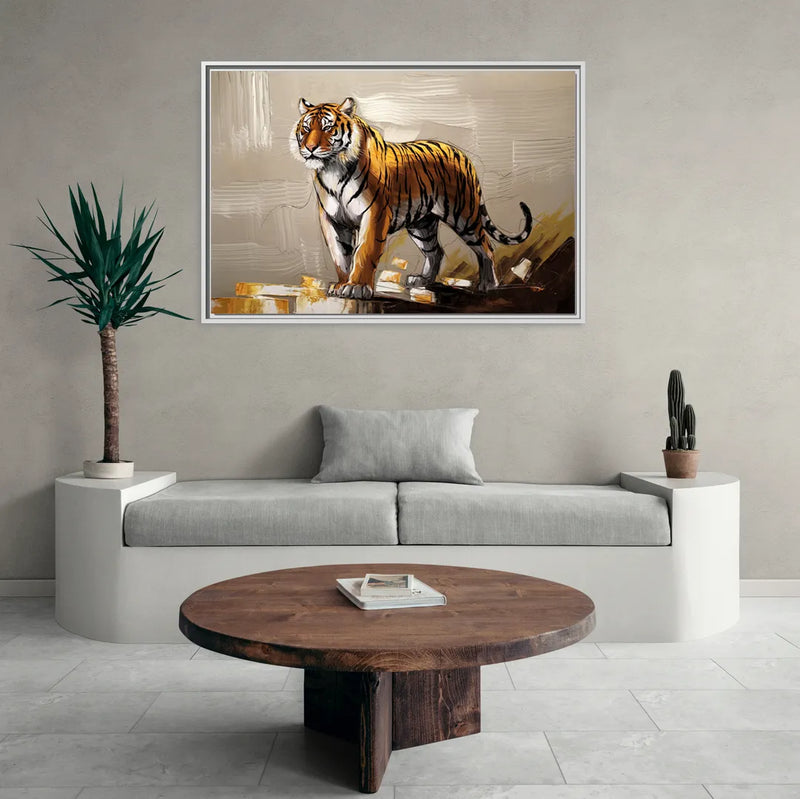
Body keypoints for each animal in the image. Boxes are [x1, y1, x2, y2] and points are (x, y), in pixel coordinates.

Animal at [290, 97, 534, 299]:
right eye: (306, 128)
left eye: (327, 127)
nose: (309, 148)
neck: (332, 167)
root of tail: (462, 154)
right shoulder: (332, 219)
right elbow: (340, 256)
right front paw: (341, 284)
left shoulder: (374, 213)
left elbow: (364, 252)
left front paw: (356, 287)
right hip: (422, 224)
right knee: (436, 251)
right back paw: (422, 280)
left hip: (463, 215)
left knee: (485, 246)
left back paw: (488, 284)